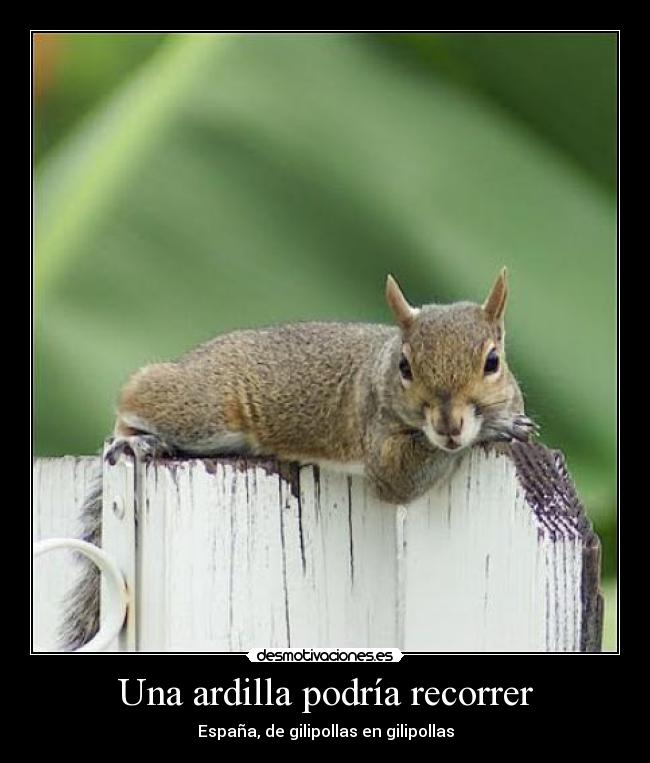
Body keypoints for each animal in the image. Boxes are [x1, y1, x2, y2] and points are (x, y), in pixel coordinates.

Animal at [61, 268, 536, 650]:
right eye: (405, 367)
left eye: (493, 361)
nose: (450, 426)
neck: (379, 371)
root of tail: (200, 356)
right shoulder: (378, 439)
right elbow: (398, 477)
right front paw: (495, 428)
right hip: (203, 408)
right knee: (134, 396)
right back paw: (134, 440)